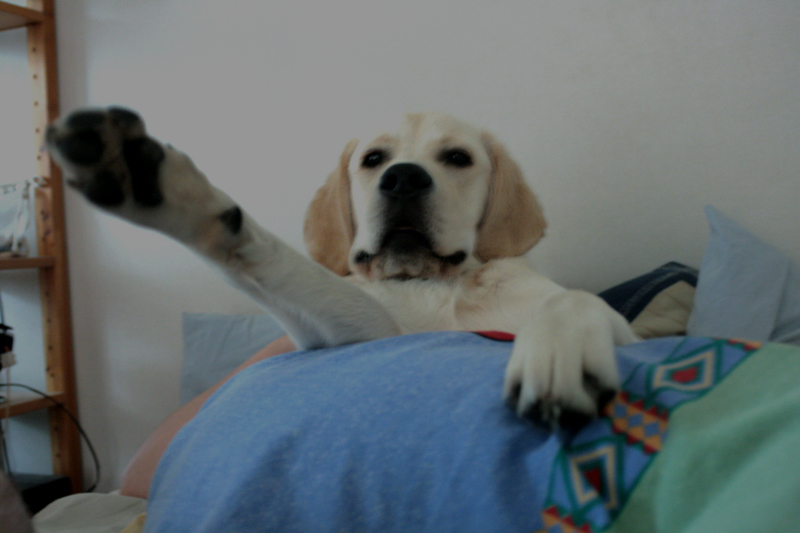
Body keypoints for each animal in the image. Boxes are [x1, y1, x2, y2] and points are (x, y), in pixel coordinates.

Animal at [46, 108, 637, 424]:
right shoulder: (362, 332)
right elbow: (274, 259)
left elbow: (574, 299)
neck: (431, 281)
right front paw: (174, 195)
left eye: (458, 158)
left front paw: (558, 350)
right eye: (373, 160)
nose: (403, 178)